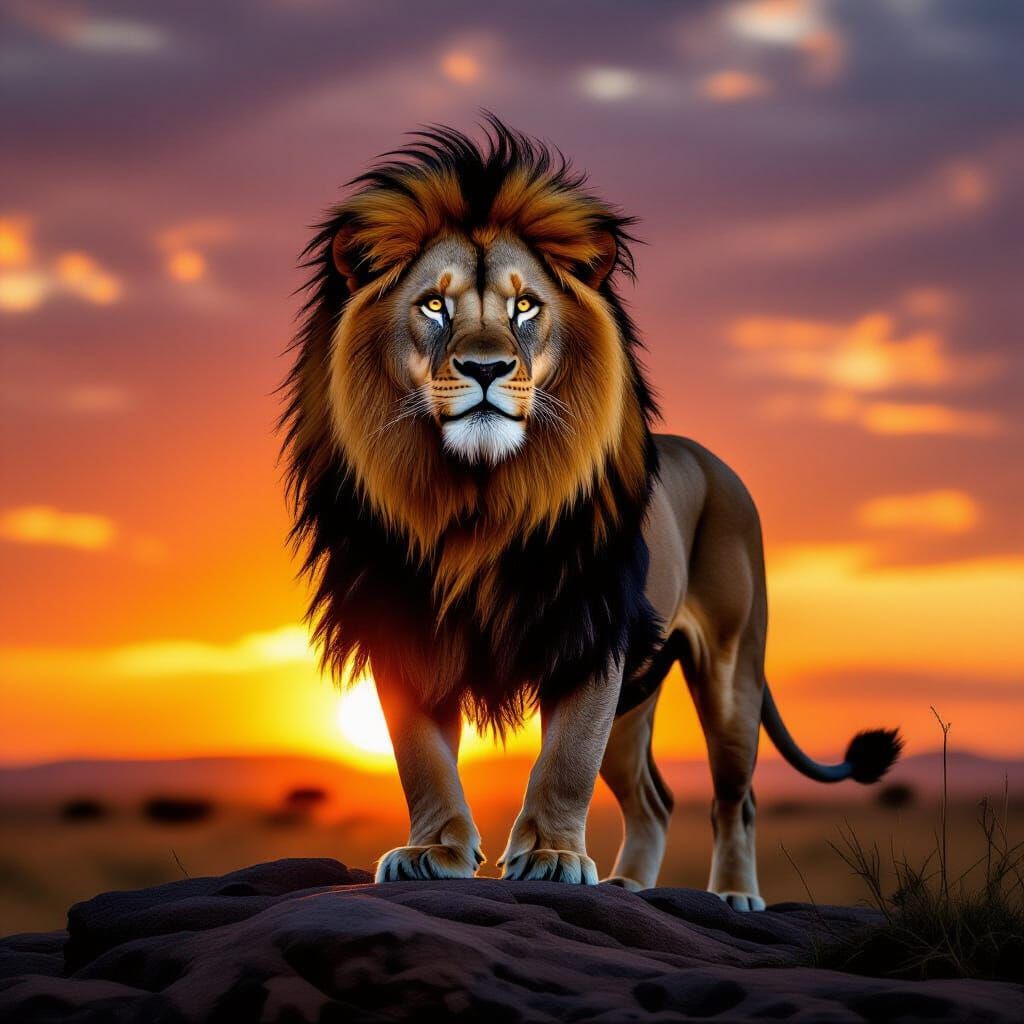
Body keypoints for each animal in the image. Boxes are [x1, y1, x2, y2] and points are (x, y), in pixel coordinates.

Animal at [281, 117, 902, 910]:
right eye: (433, 305)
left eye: (524, 306)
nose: (487, 368)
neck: (477, 498)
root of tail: (717, 462)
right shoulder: (403, 625)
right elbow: (420, 755)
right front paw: (434, 851)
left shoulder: (590, 631)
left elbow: (566, 759)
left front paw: (550, 857)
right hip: (640, 693)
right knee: (654, 798)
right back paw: (628, 886)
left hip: (729, 670)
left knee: (736, 797)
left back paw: (733, 895)